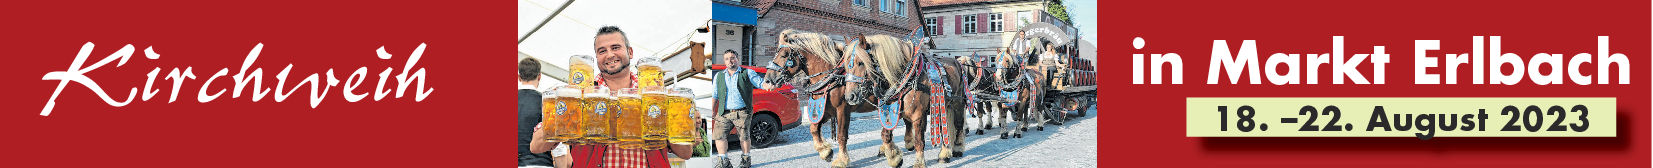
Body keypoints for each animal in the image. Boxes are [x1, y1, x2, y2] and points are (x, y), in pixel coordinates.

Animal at [839, 34, 965, 168]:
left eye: (861, 63)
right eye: (845, 66)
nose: (850, 96)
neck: (908, 78)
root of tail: (957, 62)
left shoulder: (918, 115)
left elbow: (919, 141)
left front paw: (919, 163)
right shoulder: (893, 110)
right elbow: (886, 135)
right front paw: (894, 158)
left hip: (957, 102)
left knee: (958, 124)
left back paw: (957, 148)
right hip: (942, 104)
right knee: (943, 127)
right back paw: (944, 154)